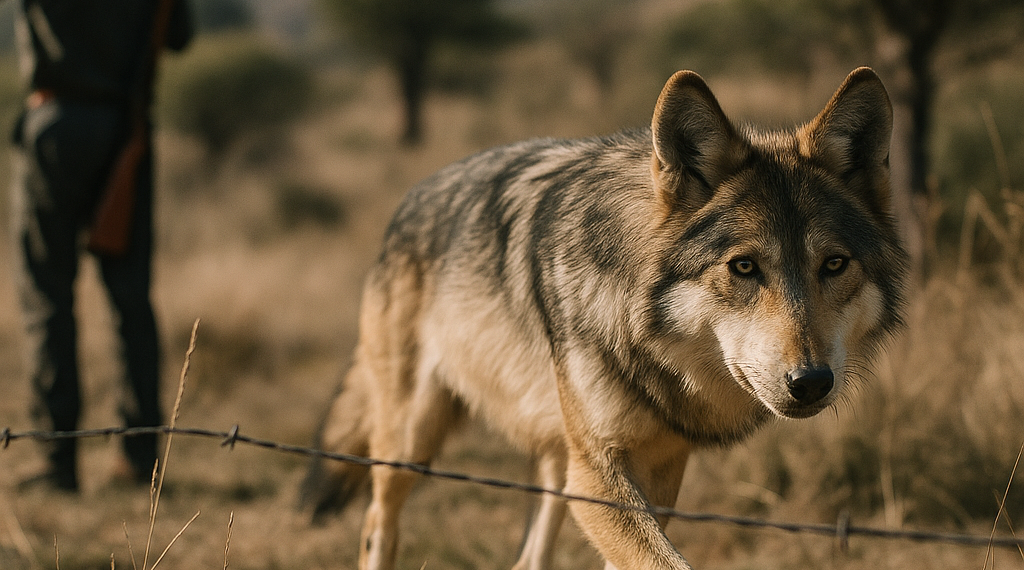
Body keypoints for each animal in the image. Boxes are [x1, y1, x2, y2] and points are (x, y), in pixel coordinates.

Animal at [301, 67, 907, 570]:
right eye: (744, 266)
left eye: (834, 264)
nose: (811, 382)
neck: (647, 343)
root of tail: (409, 199)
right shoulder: (597, 471)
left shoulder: (657, 467)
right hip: (412, 446)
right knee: (378, 525)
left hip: (554, 458)